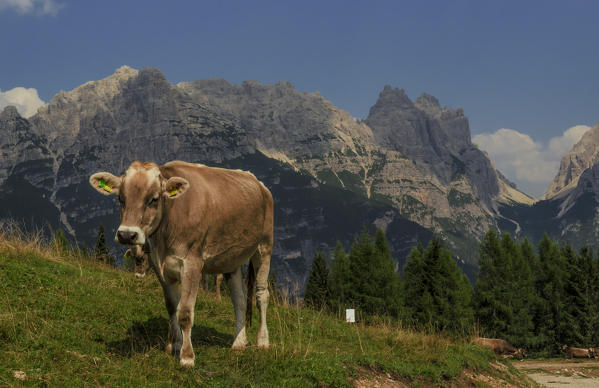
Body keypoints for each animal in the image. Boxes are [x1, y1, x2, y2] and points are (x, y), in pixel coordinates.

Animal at [89, 161, 274, 366]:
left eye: (154, 199)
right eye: (121, 198)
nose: (127, 235)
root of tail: (259, 184)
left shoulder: (192, 264)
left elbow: (185, 312)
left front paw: (187, 357)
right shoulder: (160, 267)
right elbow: (172, 307)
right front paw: (174, 345)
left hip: (264, 246)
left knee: (261, 295)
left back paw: (263, 341)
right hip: (231, 260)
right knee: (239, 299)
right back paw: (239, 343)